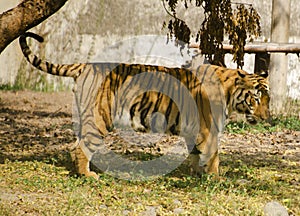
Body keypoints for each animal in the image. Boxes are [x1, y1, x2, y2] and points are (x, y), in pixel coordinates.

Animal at [19, 32, 270, 180]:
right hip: (99, 119)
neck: (229, 93)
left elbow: (196, 154)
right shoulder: (209, 131)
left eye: (269, 100)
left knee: (75, 145)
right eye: (256, 98)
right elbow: (213, 155)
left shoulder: (195, 131)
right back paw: (88, 176)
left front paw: (197, 174)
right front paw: (215, 179)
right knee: (82, 148)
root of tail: (85, 65)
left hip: (84, 118)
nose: (266, 117)